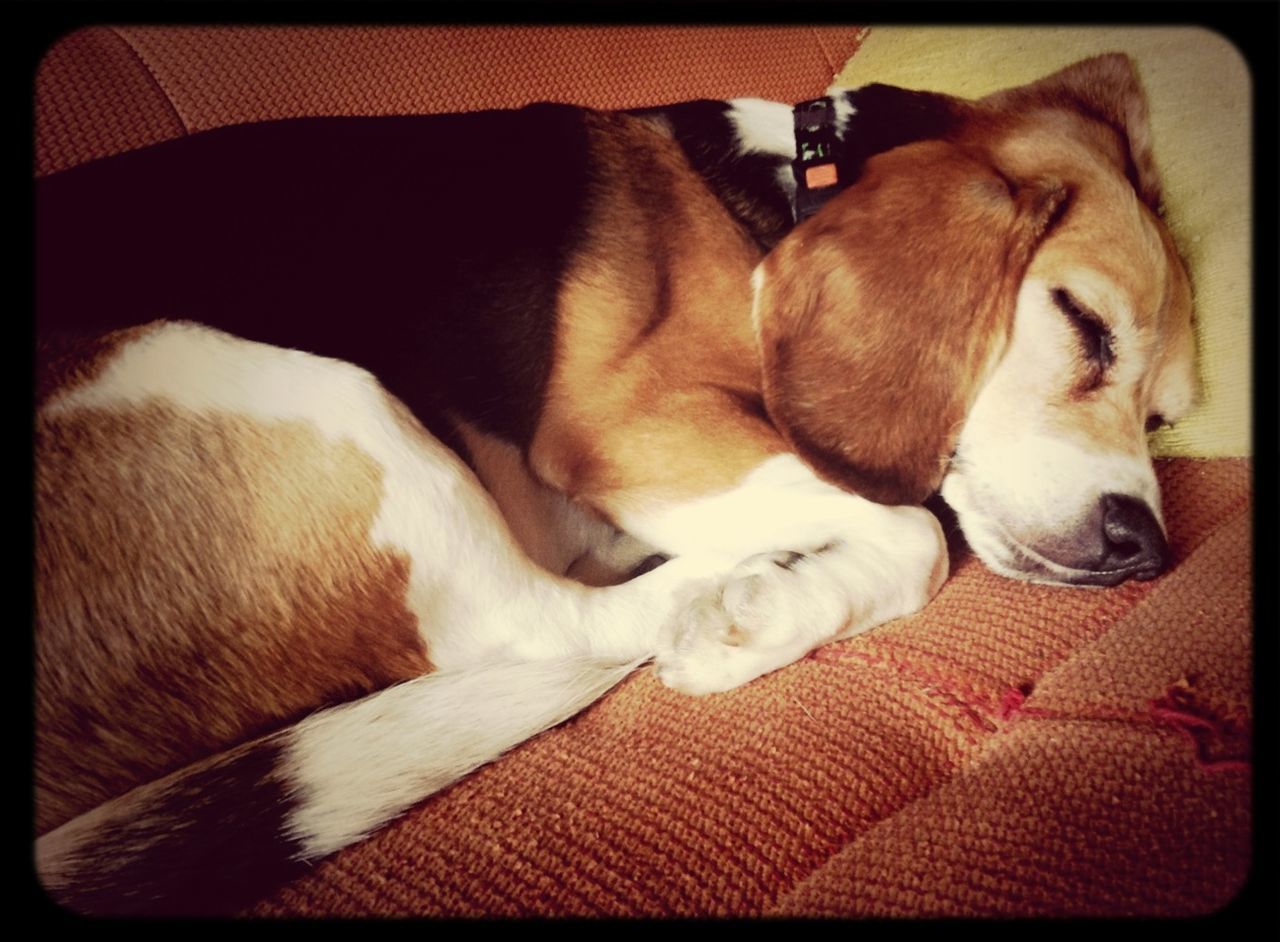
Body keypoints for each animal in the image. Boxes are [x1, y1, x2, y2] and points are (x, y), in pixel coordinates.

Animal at [32, 53, 1198, 911]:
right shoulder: (632, 429)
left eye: (1162, 416)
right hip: (286, 386)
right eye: (1083, 326)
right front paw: (754, 614)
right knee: (535, 625)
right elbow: (917, 528)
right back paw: (707, 591)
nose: (1145, 547)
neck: (779, 192)